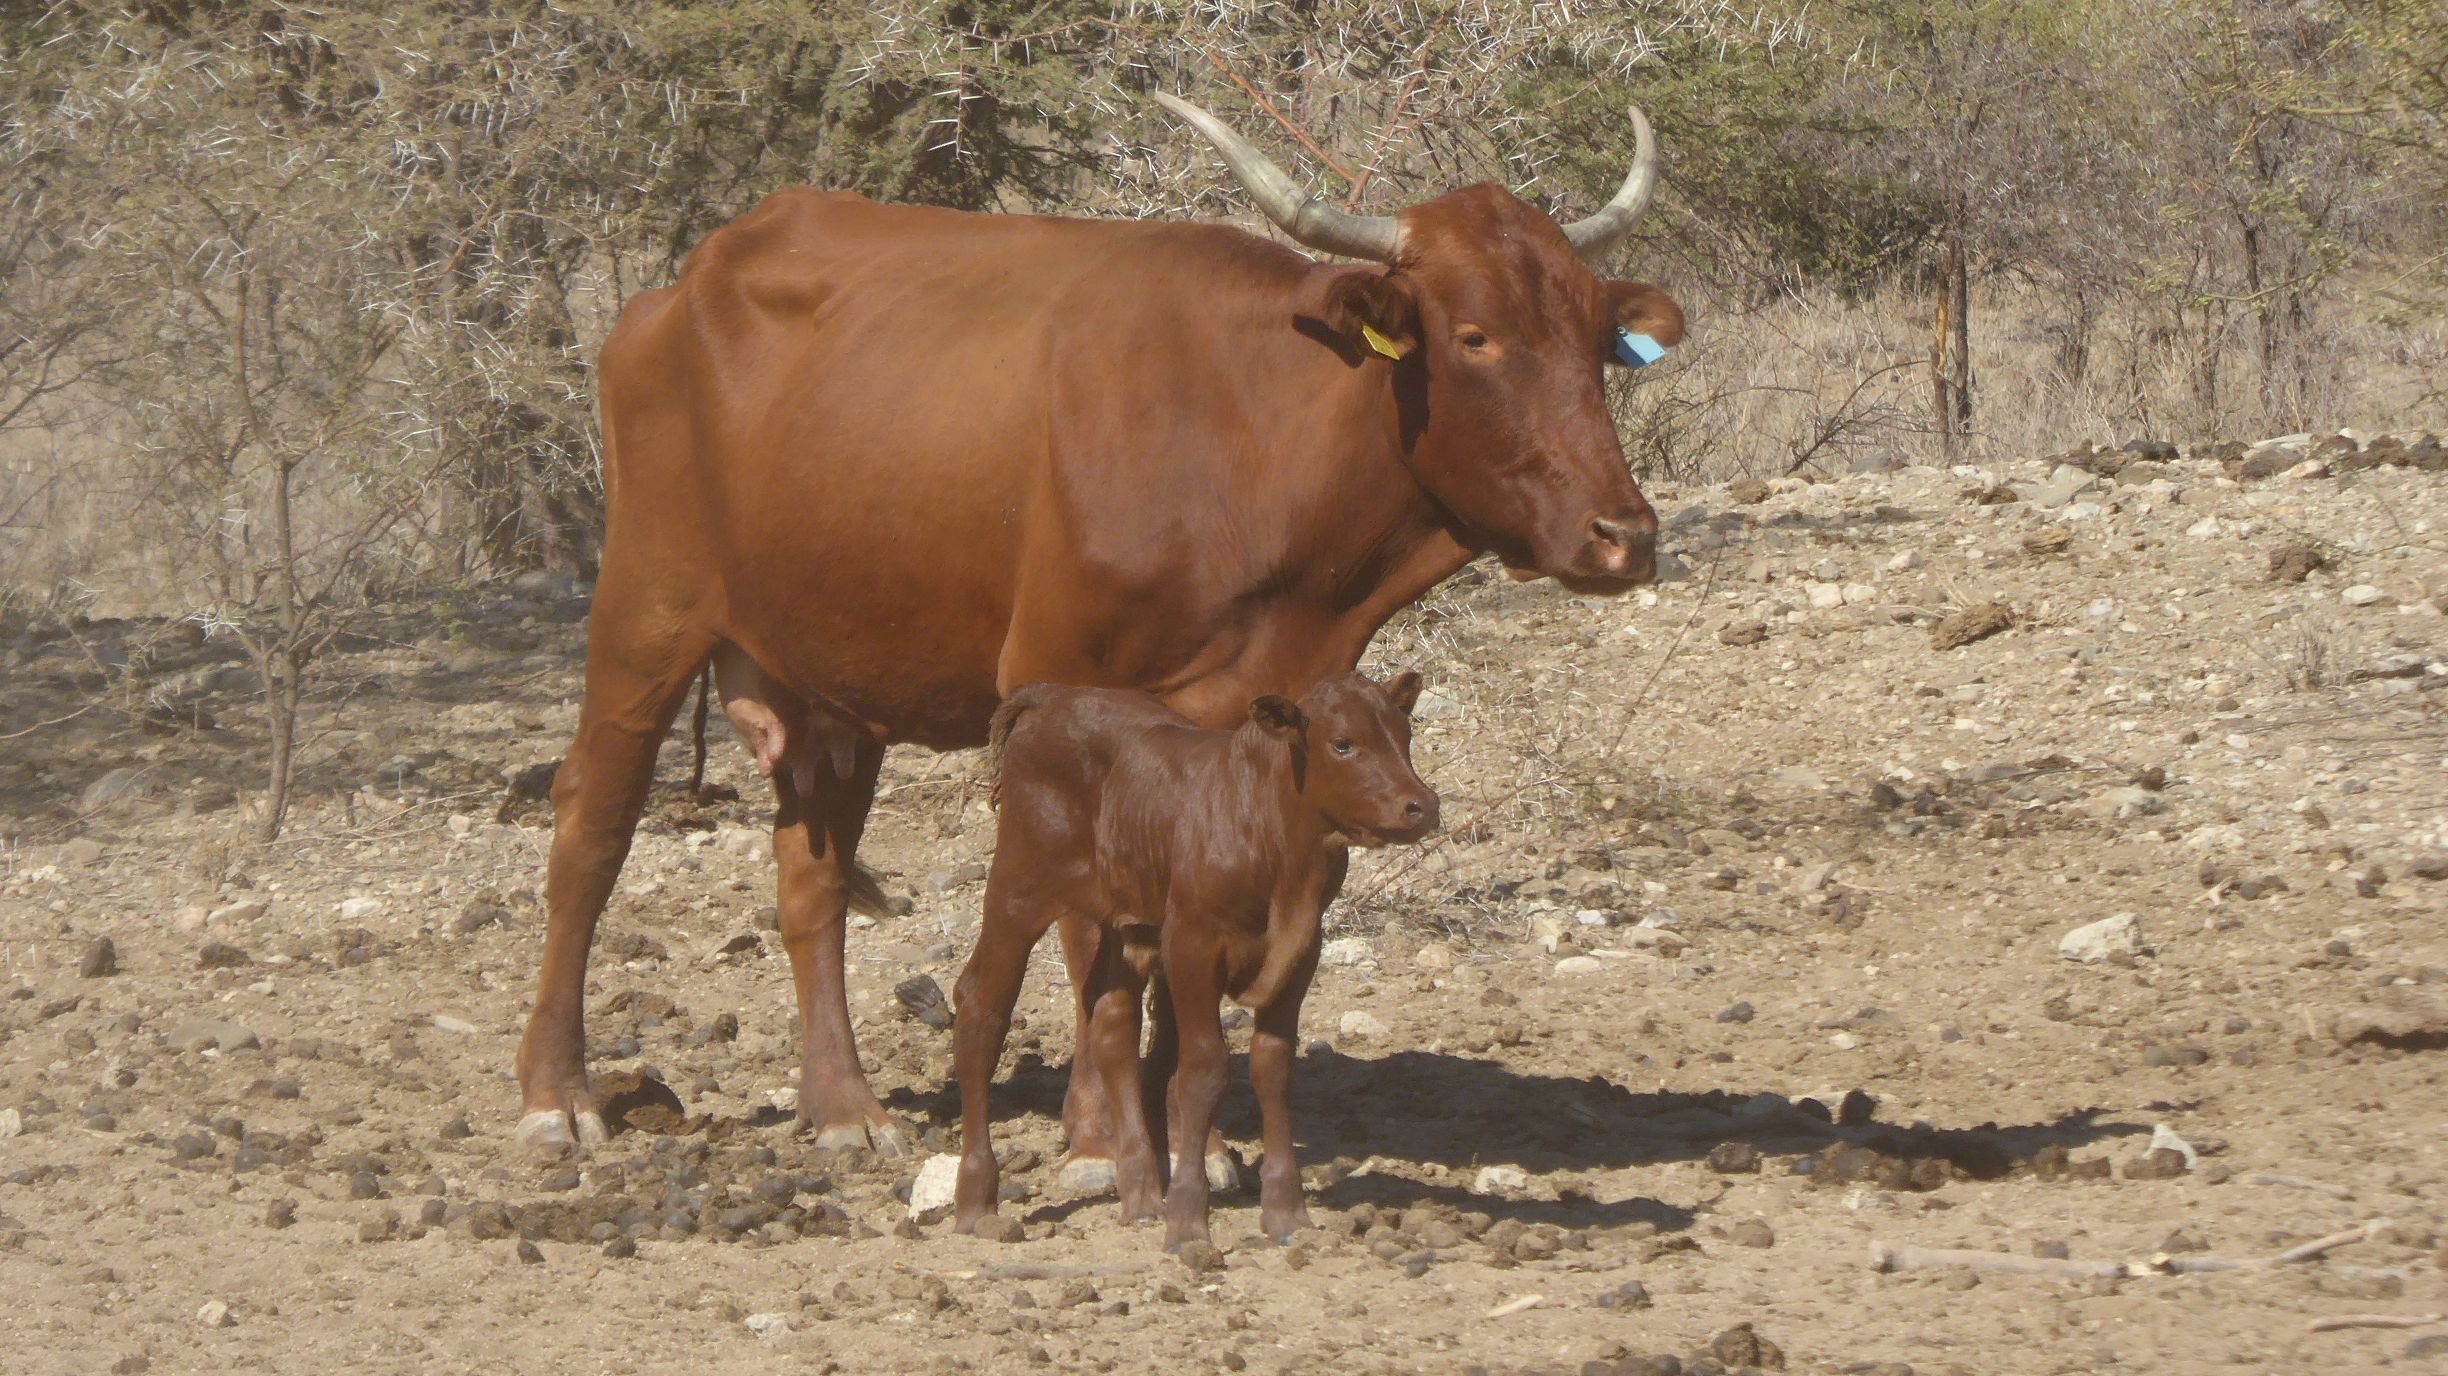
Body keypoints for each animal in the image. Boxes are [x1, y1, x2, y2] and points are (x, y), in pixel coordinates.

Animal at [511, 88, 1684, 1165]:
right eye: (1476, 335)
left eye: (1596, 340)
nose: (1624, 535)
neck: (1249, 431)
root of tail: (686, 281)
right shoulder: (1059, 686)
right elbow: (1091, 926)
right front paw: (1099, 1130)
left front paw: (1184, 1126)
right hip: (646, 608)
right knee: (592, 826)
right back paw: (556, 1093)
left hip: (830, 674)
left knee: (812, 877)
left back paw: (844, 1107)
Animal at [940, 665, 1429, 1243]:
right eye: (1343, 743)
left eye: (1405, 736)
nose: (1421, 806)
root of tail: (1052, 696)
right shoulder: (1192, 943)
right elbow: (1202, 1068)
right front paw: (1189, 1217)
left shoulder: (1302, 951)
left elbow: (1272, 1066)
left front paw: (1285, 1211)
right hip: (1021, 886)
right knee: (981, 1006)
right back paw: (977, 1200)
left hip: (1123, 913)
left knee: (1111, 1020)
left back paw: (1140, 1194)